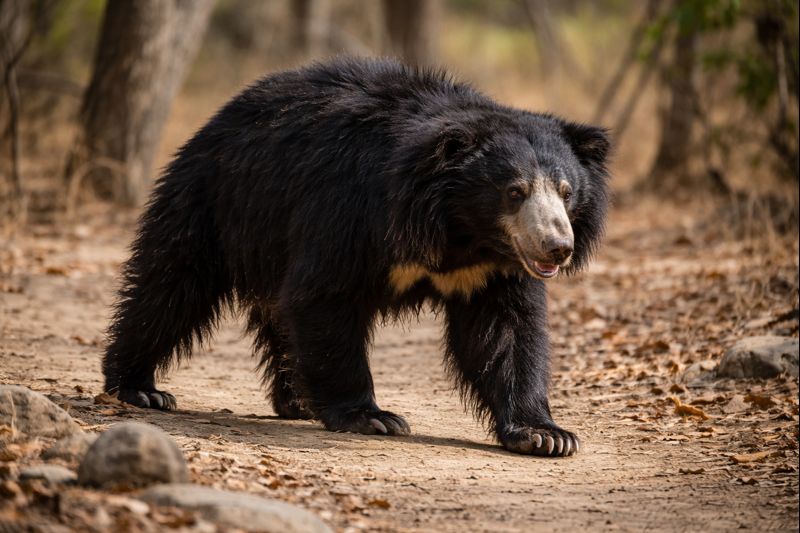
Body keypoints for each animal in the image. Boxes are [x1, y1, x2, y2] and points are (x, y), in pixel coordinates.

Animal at [102, 57, 610, 457]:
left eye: (566, 192)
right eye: (514, 191)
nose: (557, 247)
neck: (461, 232)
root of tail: (219, 118)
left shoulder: (492, 270)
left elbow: (507, 330)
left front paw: (546, 435)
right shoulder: (351, 212)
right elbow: (325, 295)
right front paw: (373, 417)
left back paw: (297, 401)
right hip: (214, 202)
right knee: (171, 286)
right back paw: (139, 388)